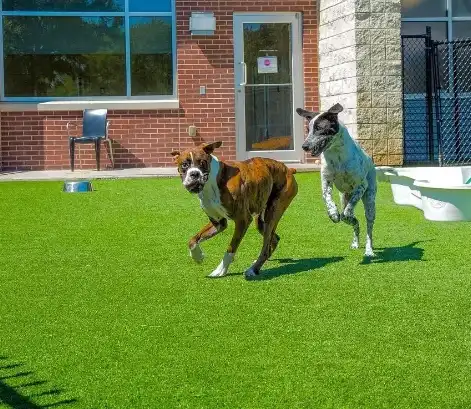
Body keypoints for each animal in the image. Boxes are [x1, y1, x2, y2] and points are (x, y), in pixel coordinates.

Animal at [172, 142, 298, 278]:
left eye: (203, 162)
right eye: (184, 165)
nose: (195, 174)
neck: (212, 183)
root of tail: (288, 169)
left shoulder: (242, 220)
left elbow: (231, 247)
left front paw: (221, 270)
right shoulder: (218, 223)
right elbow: (193, 240)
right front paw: (197, 256)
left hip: (272, 214)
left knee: (266, 245)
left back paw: (253, 269)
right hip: (260, 221)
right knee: (273, 239)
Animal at [296, 103, 378, 255]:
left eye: (319, 128)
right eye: (308, 130)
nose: (304, 146)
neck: (336, 154)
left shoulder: (361, 186)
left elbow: (347, 212)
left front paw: (346, 214)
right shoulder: (326, 182)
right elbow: (327, 198)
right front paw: (333, 213)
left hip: (370, 201)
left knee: (368, 228)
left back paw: (369, 250)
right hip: (344, 198)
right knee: (355, 223)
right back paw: (355, 242)